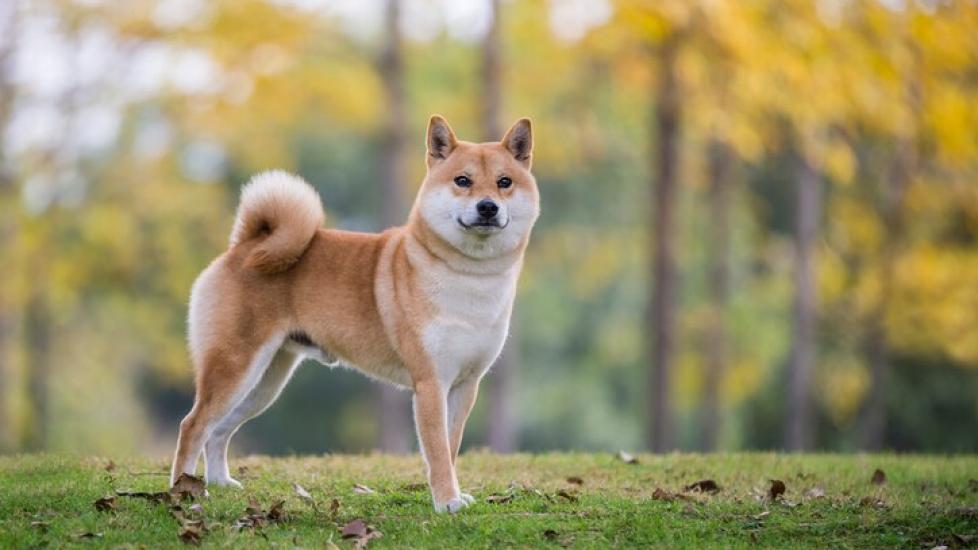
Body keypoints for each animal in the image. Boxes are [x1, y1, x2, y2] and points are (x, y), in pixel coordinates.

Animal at [168, 114, 532, 516]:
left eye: (504, 182)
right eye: (462, 180)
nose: (487, 207)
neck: (468, 277)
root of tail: (245, 246)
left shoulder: (465, 384)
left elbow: (451, 449)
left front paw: (454, 495)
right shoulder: (430, 383)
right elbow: (438, 452)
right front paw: (447, 501)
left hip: (264, 382)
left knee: (218, 430)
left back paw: (220, 482)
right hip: (234, 367)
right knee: (193, 425)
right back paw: (183, 492)